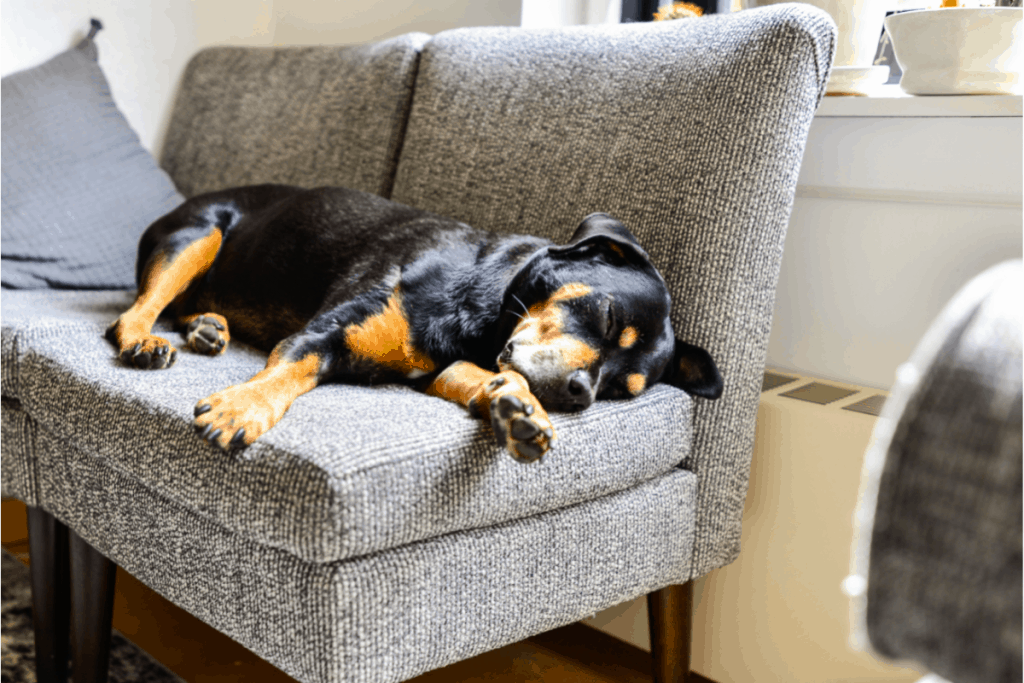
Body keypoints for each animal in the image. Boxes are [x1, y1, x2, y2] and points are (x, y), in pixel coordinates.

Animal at [108, 185, 724, 464]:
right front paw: (242, 408)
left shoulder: (443, 369)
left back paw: (208, 328)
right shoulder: (324, 331)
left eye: (622, 391)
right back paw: (144, 341)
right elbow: (289, 373)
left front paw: (520, 410)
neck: (485, 298)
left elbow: (483, 376)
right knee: (136, 309)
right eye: (607, 315)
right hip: (198, 234)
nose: (579, 394)